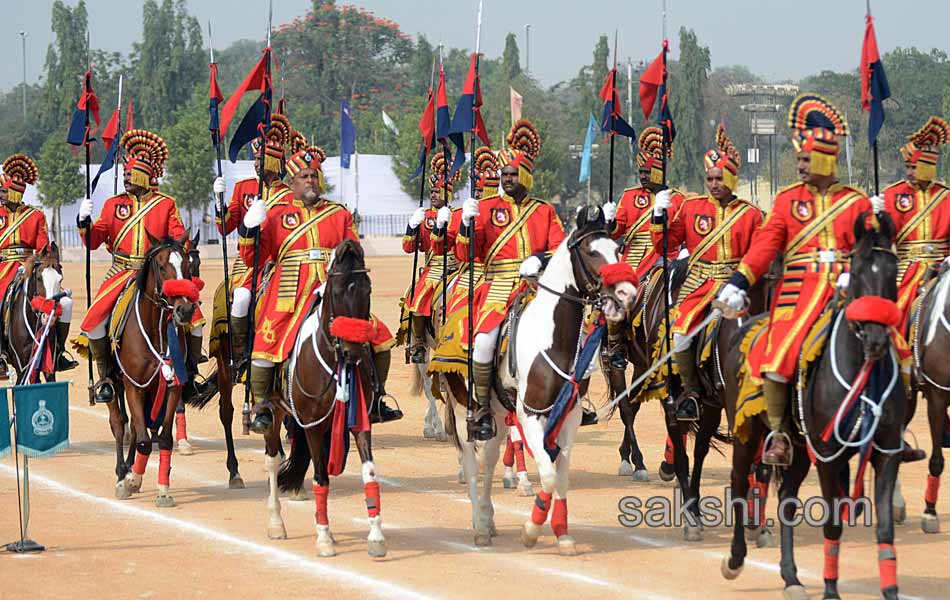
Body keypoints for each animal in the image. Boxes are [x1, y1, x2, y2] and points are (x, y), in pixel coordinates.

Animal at [109, 234, 201, 506]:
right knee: (120, 424)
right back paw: (122, 473)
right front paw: (130, 480)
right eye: (161, 267)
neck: (156, 330)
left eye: (187, 266)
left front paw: (162, 489)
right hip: (116, 384)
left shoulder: (172, 387)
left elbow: (164, 438)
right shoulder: (133, 385)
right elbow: (142, 441)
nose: (185, 310)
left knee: (140, 427)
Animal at [260, 239, 386, 556]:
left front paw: (376, 536)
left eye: (367, 290)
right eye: (337, 292)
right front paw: (324, 538)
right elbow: (320, 477)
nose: (354, 351)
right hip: (276, 411)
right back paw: (276, 522)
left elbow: (370, 473)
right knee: (273, 459)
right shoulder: (313, 424)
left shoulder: (359, 421)